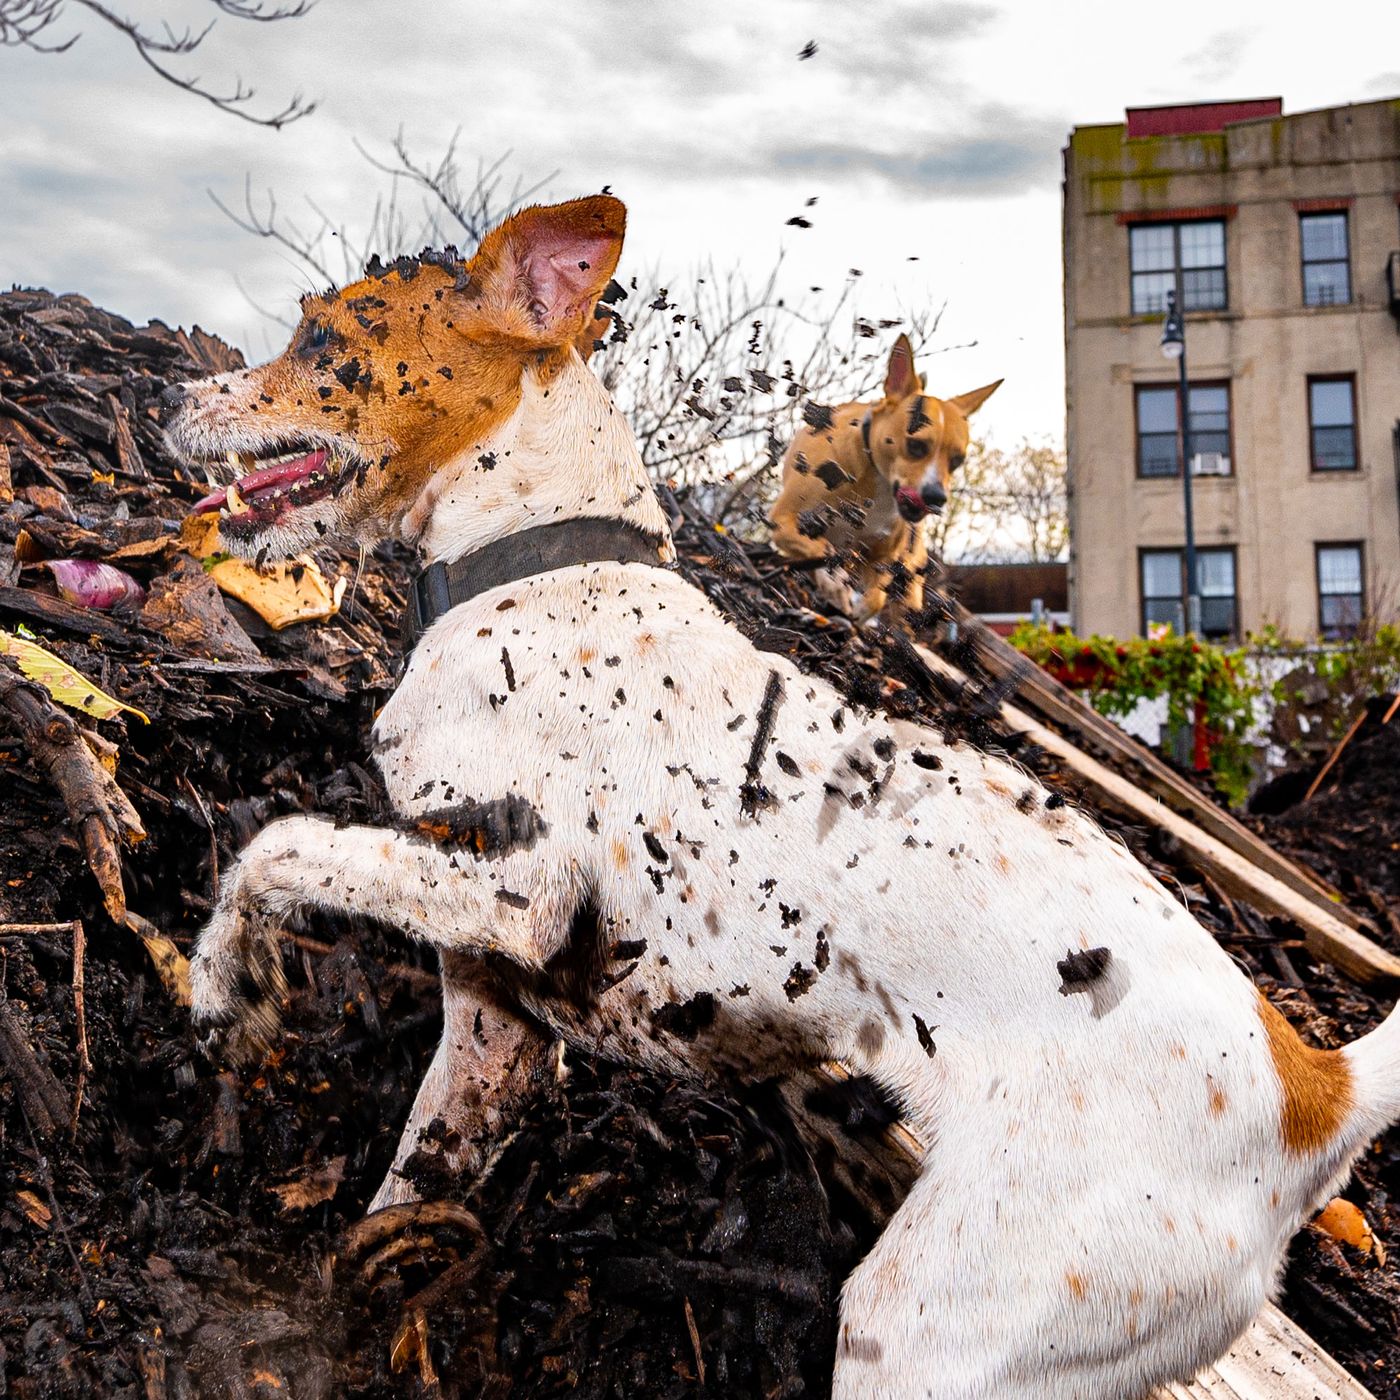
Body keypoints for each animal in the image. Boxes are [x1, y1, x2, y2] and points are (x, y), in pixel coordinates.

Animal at [166, 200, 1400, 1400]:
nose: (179, 394)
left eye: (324, 337)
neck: (540, 563)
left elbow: (277, 845)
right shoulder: (492, 1010)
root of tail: (1314, 1088)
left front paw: (227, 984)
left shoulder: (513, 882)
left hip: (926, 1328)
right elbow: (419, 1168)